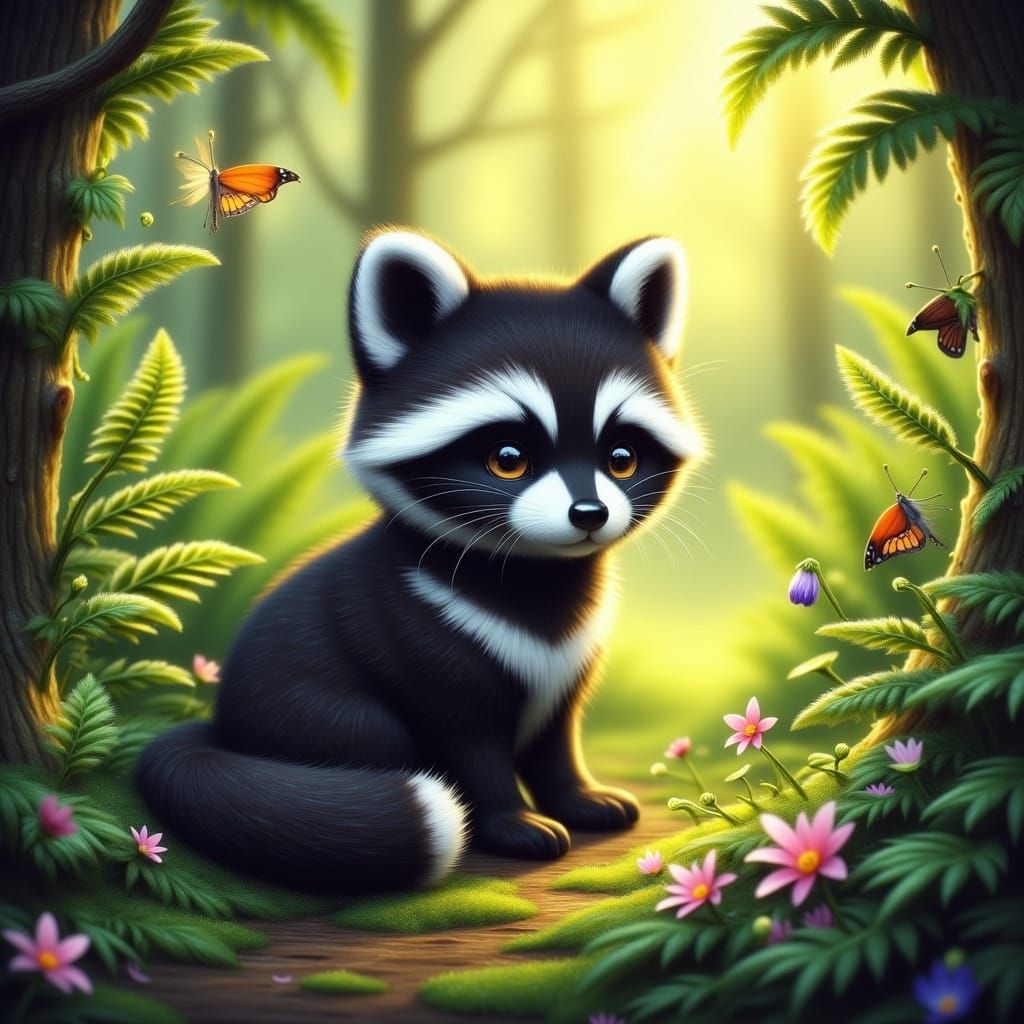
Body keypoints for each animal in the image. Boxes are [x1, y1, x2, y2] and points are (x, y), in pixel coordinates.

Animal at [136, 229, 702, 892]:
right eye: (507, 458)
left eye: (621, 457)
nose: (589, 512)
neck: (533, 577)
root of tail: (223, 726)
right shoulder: (418, 640)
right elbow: (469, 745)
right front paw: (510, 821)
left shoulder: (571, 662)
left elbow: (556, 740)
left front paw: (577, 796)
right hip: (307, 710)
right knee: (378, 739)